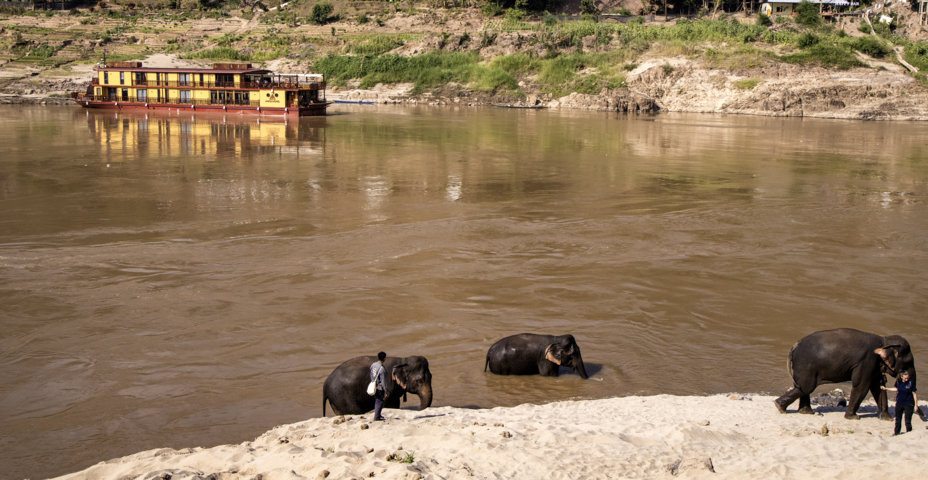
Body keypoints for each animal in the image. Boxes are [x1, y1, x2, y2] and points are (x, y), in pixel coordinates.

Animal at [774, 328, 916, 420]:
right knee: (806, 387)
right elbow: (861, 386)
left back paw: (804, 412)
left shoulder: (874, 365)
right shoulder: (867, 361)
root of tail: (793, 347)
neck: (885, 340)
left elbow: (878, 387)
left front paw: (888, 419)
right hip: (806, 367)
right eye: (909, 362)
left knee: (802, 388)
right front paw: (853, 418)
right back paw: (781, 407)